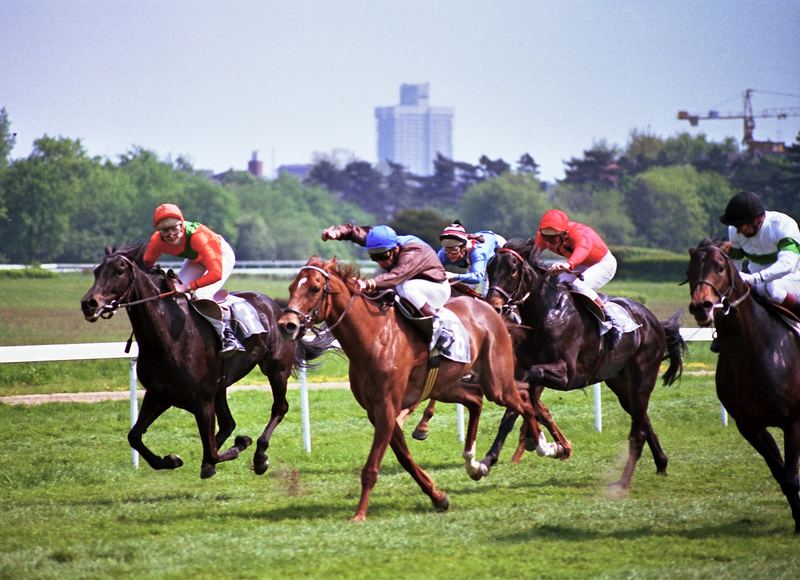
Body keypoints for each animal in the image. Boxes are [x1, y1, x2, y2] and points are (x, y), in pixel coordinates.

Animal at [79, 242, 332, 478]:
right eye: (96, 271)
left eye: (119, 271)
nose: (89, 303)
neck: (168, 337)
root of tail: (279, 310)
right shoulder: (159, 394)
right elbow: (134, 436)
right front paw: (169, 460)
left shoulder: (202, 401)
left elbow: (212, 450)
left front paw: (241, 444)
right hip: (220, 386)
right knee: (228, 423)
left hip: (275, 369)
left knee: (279, 407)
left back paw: (259, 456)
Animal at [276, 258, 552, 520]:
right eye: (291, 287)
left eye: (314, 288)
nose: (286, 324)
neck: (374, 337)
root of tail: (489, 309)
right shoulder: (376, 411)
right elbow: (405, 458)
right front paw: (438, 497)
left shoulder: (387, 407)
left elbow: (372, 466)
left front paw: (359, 514)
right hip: (445, 386)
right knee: (477, 400)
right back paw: (475, 463)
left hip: (496, 381)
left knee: (523, 401)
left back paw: (547, 446)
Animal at [478, 238, 684, 488]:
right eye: (489, 269)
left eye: (513, 270)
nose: (493, 306)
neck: (546, 314)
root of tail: (653, 320)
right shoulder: (533, 370)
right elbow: (514, 411)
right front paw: (487, 461)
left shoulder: (567, 374)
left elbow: (528, 386)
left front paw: (539, 441)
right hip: (620, 382)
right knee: (642, 416)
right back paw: (661, 462)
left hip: (643, 377)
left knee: (639, 428)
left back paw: (623, 481)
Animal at [688, 238, 800, 532]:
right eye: (690, 269)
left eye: (719, 266)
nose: (701, 306)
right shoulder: (750, 426)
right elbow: (783, 476)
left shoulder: (793, 422)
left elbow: (791, 475)